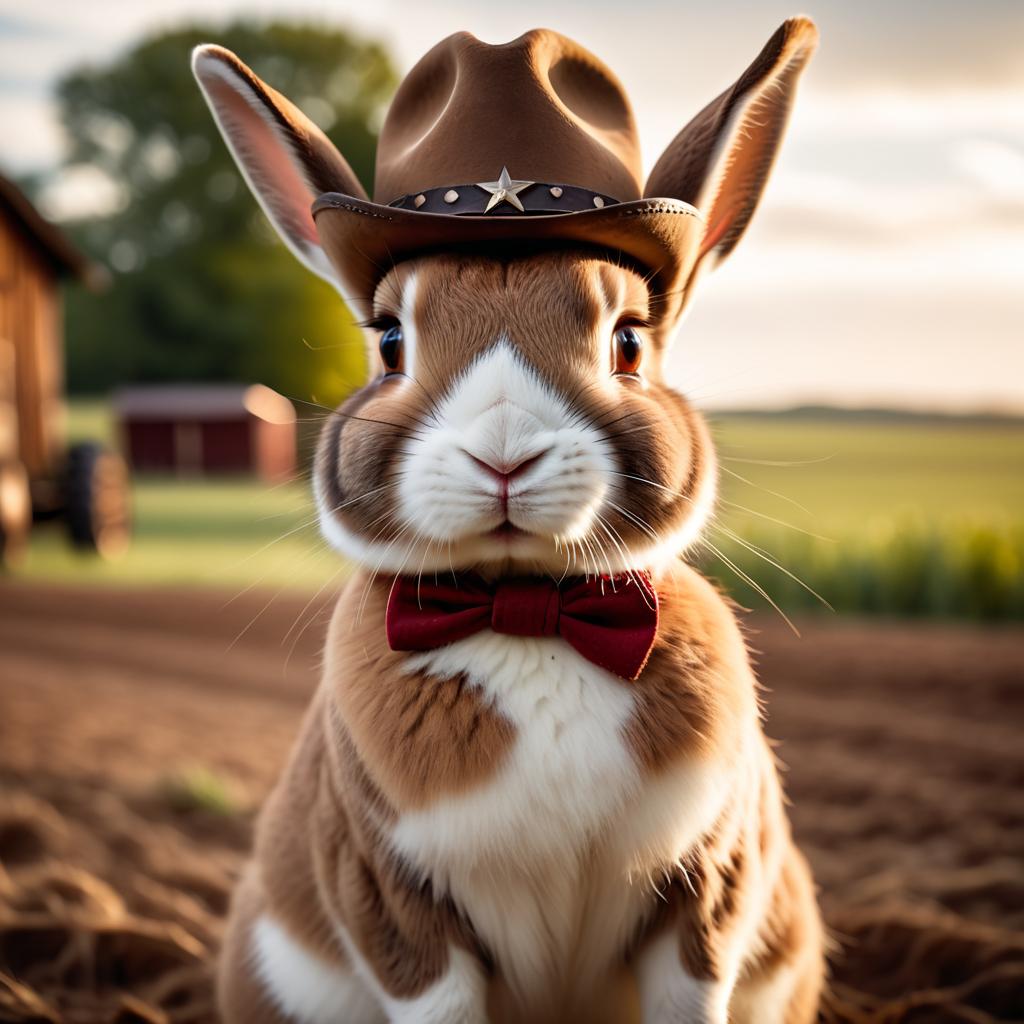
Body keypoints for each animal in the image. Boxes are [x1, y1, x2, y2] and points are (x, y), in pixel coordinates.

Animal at [193, 16, 823, 1024]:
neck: (528, 613)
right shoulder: (394, 904)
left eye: (628, 342)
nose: (503, 455)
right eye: (390, 341)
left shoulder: (707, 893)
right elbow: (435, 993)